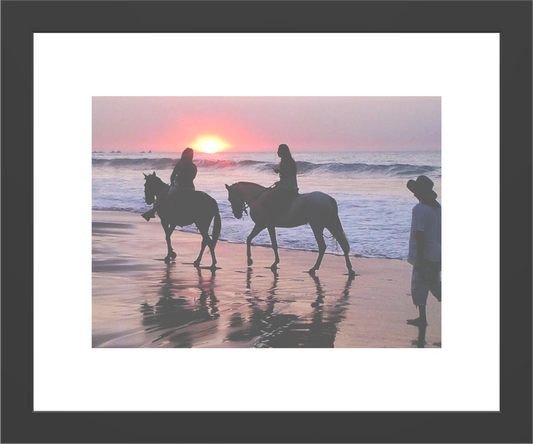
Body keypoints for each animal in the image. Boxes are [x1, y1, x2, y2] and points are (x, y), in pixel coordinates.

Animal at [225, 181, 356, 278]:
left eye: (230, 198)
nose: (237, 214)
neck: (259, 199)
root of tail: (329, 199)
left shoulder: (261, 225)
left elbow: (249, 239)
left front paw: (249, 260)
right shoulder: (270, 226)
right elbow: (274, 244)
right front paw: (275, 263)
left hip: (317, 226)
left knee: (323, 247)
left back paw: (314, 268)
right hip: (330, 224)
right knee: (343, 244)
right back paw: (350, 270)